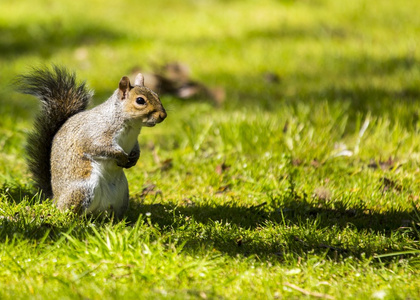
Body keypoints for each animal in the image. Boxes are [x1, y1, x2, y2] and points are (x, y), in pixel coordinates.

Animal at [16, 66, 167, 218]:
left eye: (157, 95)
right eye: (140, 100)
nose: (163, 115)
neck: (132, 126)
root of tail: (55, 198)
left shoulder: (133, 140)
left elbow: (136, 148)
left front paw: (135, 157)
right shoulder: (95, 133)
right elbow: (96, 147)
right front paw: (121, 156)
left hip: (122, 195)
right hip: (83, 189)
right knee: (69, 210)